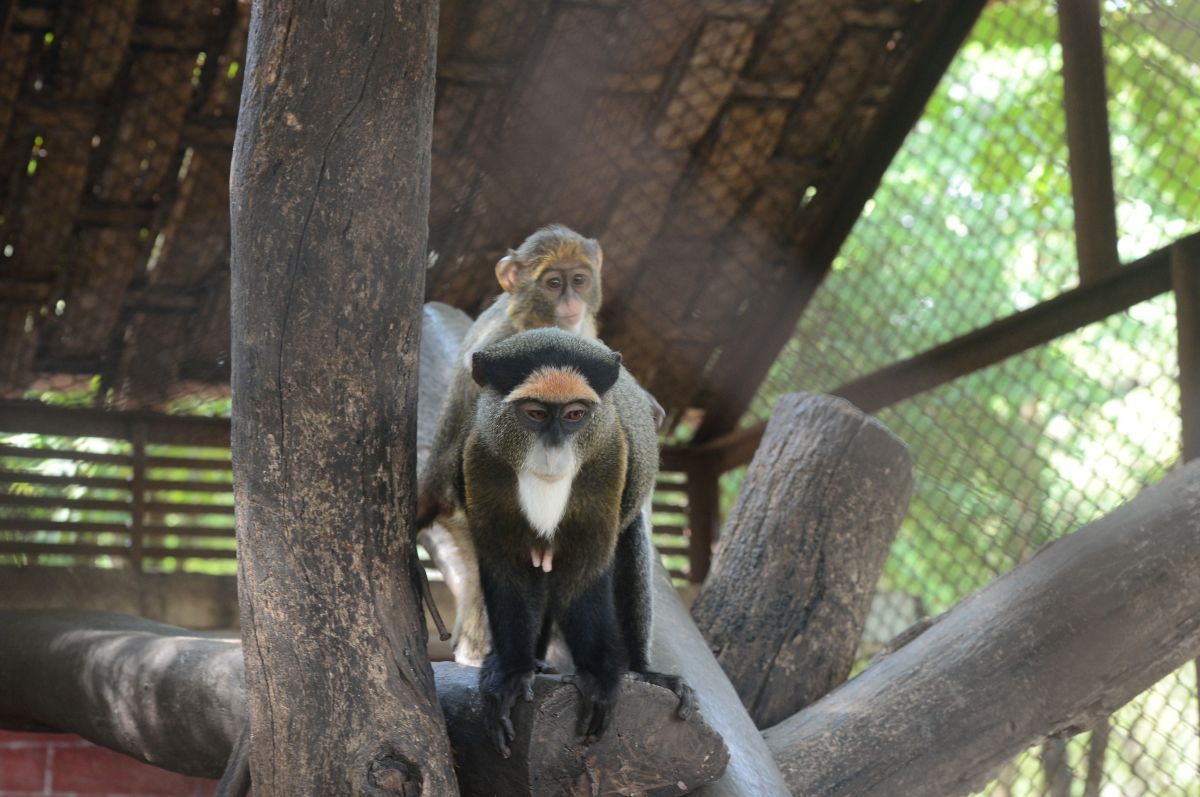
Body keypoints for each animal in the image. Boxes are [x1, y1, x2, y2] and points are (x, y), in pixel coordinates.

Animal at [462, 328, 694, 756]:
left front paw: (599, 681)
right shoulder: (479, 457)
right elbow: (505, 568)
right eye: (536, 414)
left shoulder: (609, 459)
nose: (554, 451)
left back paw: (643, 671)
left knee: (629, 550)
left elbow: (586, 570)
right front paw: (512, 673)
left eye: (574, 415)